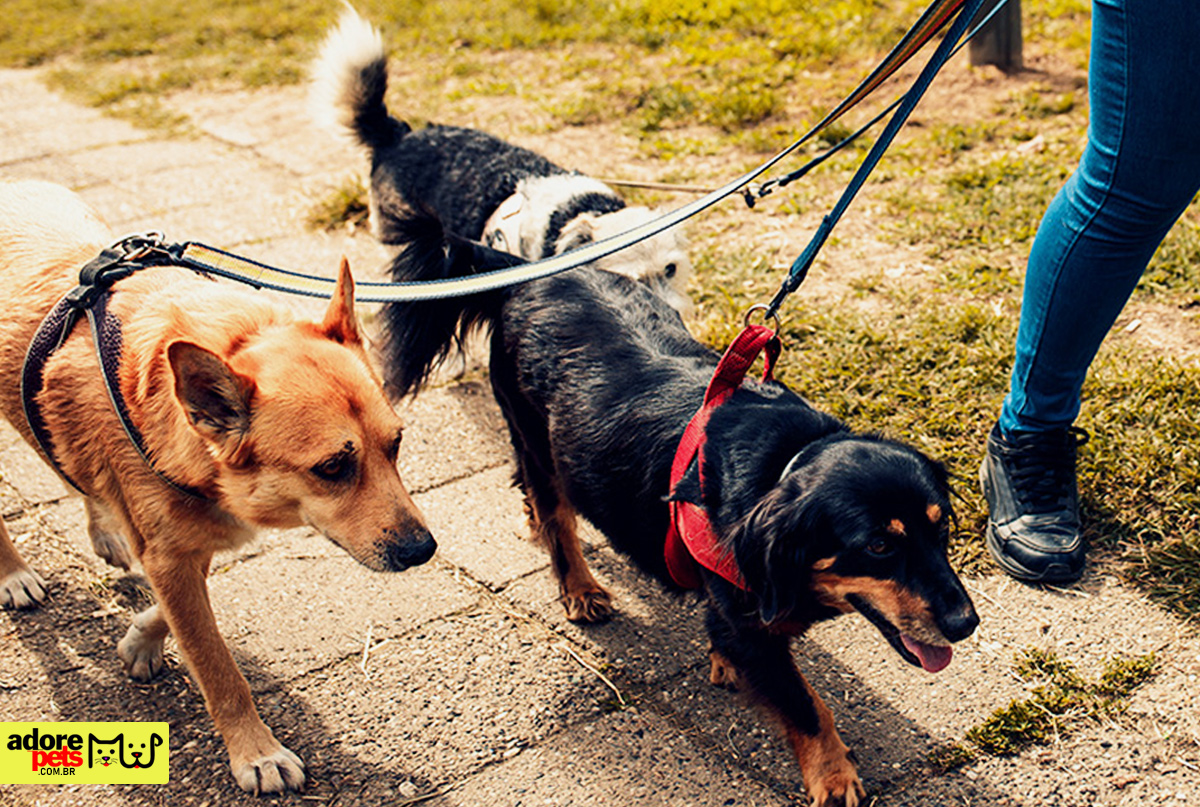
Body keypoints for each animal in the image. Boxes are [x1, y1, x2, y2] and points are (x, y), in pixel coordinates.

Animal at [0, 180, 432, 792]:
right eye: (331, 468)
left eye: (395, 444)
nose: (425, 550)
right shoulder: (174, 551)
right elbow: (215, 663)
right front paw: (255, 752)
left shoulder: (186, 538)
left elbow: (177, 611)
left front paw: (140, 639)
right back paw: (13, 575)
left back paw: (103, 530)